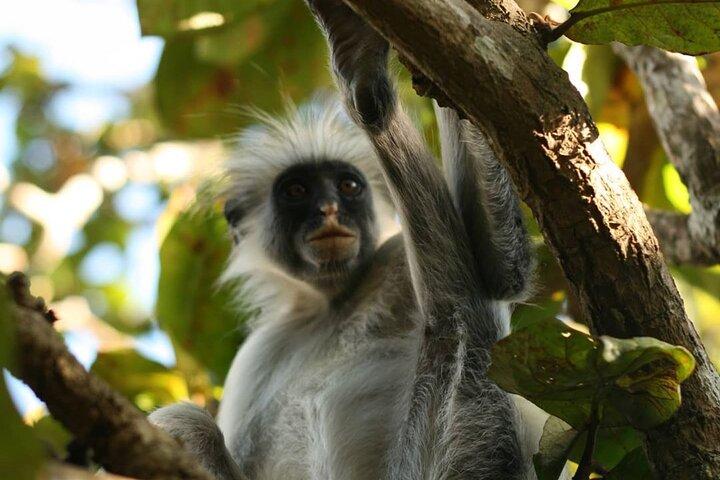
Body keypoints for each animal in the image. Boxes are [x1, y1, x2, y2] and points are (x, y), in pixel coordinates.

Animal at [149, 1, 567, 479]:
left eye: (347, 187)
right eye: (297, 191)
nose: (329, 210)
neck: (334, 304)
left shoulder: (394, 257)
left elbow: (503, 273)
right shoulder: (257, 352)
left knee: (459, 312)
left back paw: (366, 88)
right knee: (185, 423)